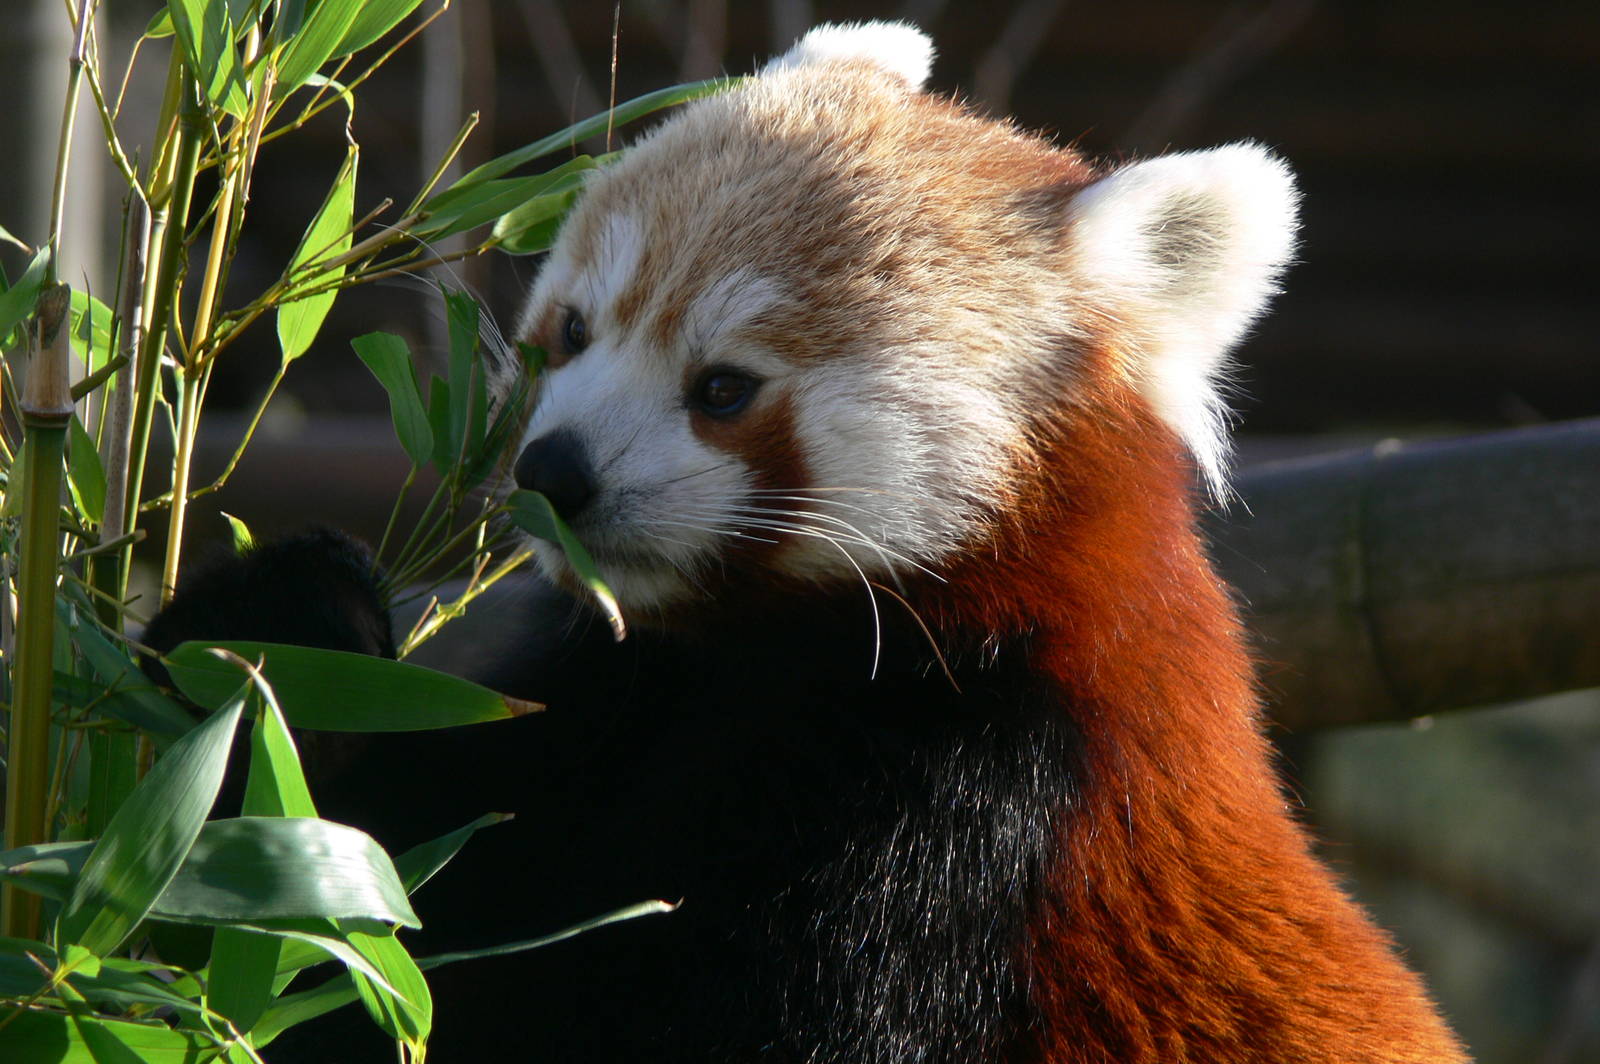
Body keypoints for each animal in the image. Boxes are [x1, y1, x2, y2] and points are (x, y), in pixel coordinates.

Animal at [147, 22, 1467, 1064]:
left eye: (724, 388)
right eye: (570, 330)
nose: (550, 472)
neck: (769, 663)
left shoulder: (981, 818)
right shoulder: (605, 711)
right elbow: (380, 897)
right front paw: (276, 626)